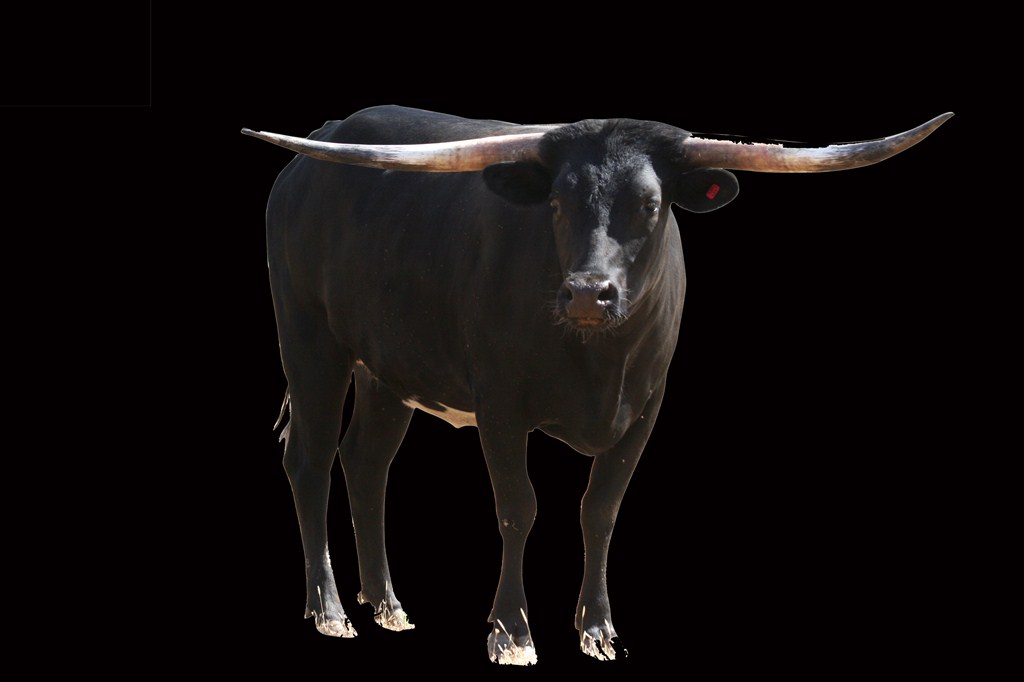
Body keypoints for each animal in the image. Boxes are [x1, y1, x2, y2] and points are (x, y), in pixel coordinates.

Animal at [241, 106, 951, 665]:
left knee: (366, 464)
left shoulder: (645, 412)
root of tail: (323, 142)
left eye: (650, 205)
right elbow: (520, 508)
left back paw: (388, 604)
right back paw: (331, 609)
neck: (598, 366)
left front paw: (599, 628)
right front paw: (513, 631)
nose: (588, 293)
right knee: (309, 460)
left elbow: (600, 510)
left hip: (388, 368)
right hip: (309, 340)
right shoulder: (500, 404)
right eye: (557, 203)